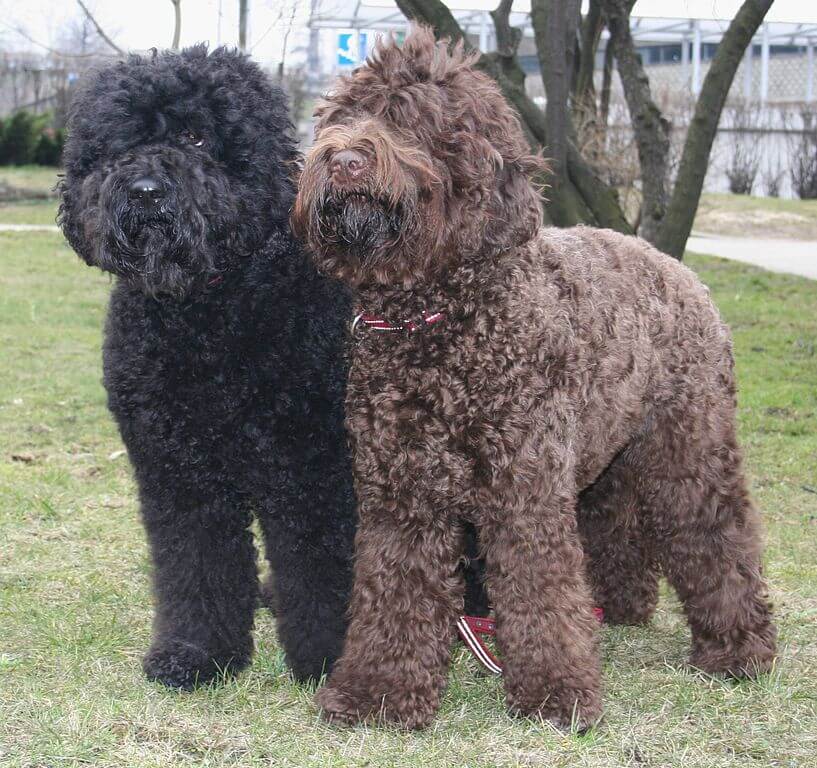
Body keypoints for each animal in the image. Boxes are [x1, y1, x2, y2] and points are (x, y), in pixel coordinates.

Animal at [59, 45, 358, 688]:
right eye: (123, 142)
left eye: (197, 137)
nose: (145, 190)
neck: (206, 312)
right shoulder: (180, 471)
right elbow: (197, 564)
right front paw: (196, 654)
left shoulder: (313, 469)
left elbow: (323, 567)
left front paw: (335, 661)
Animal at [290, 25, 776, 732]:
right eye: (339, 118)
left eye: (413, 122)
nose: (344, 159)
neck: (439, 316)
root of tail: (677, 268)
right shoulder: (401, 496)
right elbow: (395, 594)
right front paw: (377, 695)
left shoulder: (525, 490)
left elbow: (540, 591)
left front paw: (555, 693)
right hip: (605, 453)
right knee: (614, 522)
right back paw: (620, 608)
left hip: (688, 450)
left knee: (717, 536)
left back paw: (739, 650)